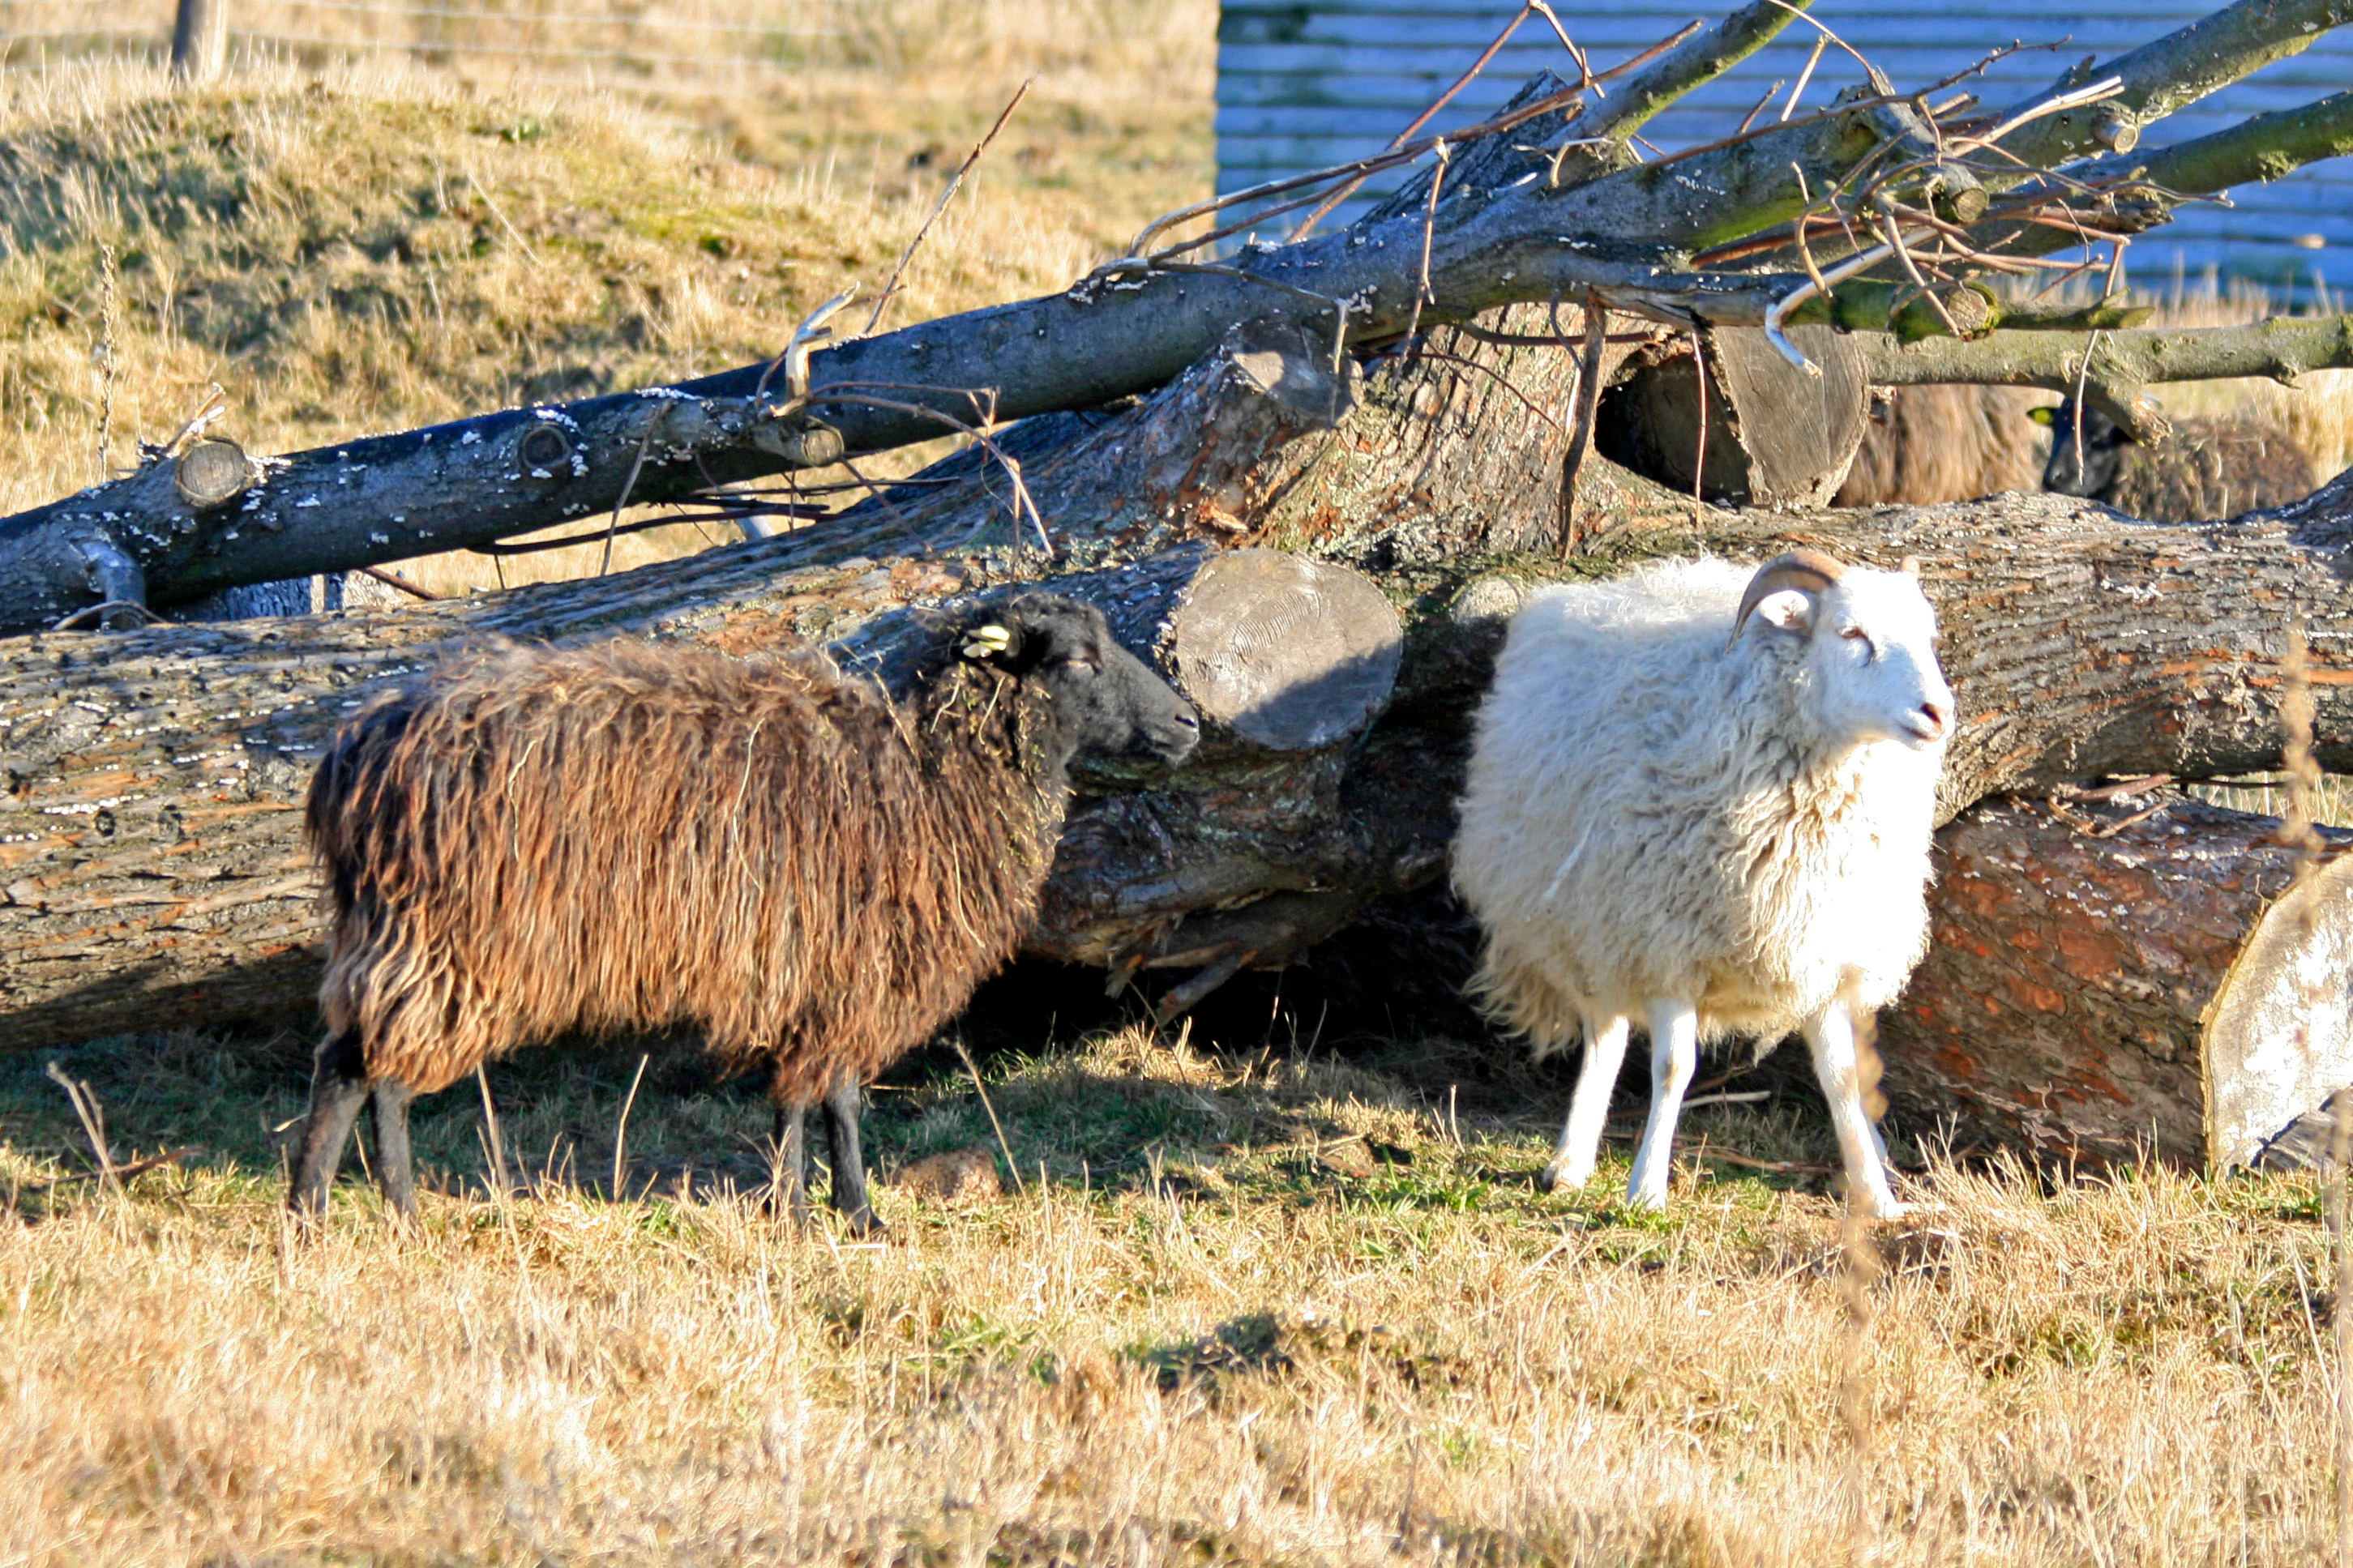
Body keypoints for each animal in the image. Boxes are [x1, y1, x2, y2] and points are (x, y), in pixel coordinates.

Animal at [289, 593, 1200, 1229]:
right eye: (1078, 659)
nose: (1190, 721)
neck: (932, 775)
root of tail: (353, 754)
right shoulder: (834, 965)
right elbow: (821, 1096)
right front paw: (827, 1214)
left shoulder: (818, 971)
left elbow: (816, 1097)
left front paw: (826, 1212)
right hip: (448, 935)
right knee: (367, 1068)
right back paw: (357, 1215)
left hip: (403, 930)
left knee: (360, 1066)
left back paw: (351, 1212)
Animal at [1451, 551, 1952, 1217]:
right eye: (1851, 633)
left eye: (1928, 637)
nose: (1937, 713)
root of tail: (1596, 591)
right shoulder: (1669, 947)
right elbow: (1673, 1069)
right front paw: (1646, 1191)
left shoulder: (1823, 949)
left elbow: (1843, 1079)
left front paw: (1878, 1200)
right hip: (1592, 921)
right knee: (1605, 1036)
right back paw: (1571, 1161)